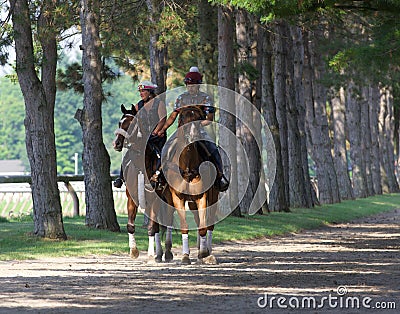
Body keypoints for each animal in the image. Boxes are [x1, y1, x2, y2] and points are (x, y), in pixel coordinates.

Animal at [113, 103, 174, 262]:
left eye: (130, 124)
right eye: (120, 123)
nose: (116, 144)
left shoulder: (154, 200)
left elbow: (152, 228)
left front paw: (151, 254)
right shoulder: (131, 199)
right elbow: (130, 225)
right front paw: (134, 251)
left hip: (169, 198)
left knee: (168, 222)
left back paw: (167, 252)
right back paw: (160, 253)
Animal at [162, 106, 219, 264]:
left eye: (198, 117)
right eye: (182, 118)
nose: (193, 136)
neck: (187, 166)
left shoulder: (202, 196)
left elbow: (203, 227)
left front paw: (204, 253)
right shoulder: (178, 198)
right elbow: (184, 227)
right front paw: (185, 256)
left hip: (213, 196)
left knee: (208, 223)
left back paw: (206, 251)